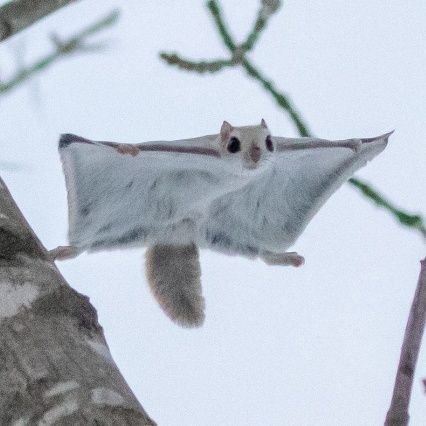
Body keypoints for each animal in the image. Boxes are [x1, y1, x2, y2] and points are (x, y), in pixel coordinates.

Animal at [54, 121, 392, 328]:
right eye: (233, 144)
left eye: (269, 142)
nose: (256, 155)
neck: (230, 175)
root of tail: (178, 233)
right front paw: (127, 149)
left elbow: (350, 145)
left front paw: (355, 144)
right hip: (117, 226)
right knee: (85, 245)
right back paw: (63, 251)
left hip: (231, 233)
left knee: (262, 254)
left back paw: (285, 257)